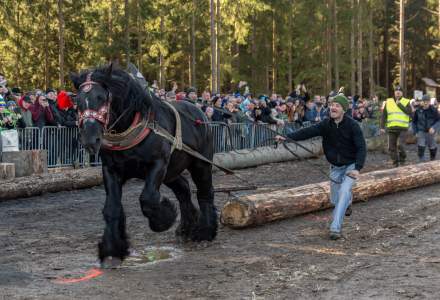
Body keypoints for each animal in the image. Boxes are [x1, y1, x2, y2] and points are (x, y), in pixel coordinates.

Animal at [69, 64, 217, 268]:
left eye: (102, 97)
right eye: (77, 102)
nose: (90, 139)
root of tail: (199, 112)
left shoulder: (158, 163)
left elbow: (148, 199)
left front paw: (163, 221)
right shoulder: (111, 170)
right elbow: (112, 208)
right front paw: (112, 251)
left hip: (200, 164)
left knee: (205, 193)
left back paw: (204, 232)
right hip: (172, 171)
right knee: (183, 189)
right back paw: (186, 227)